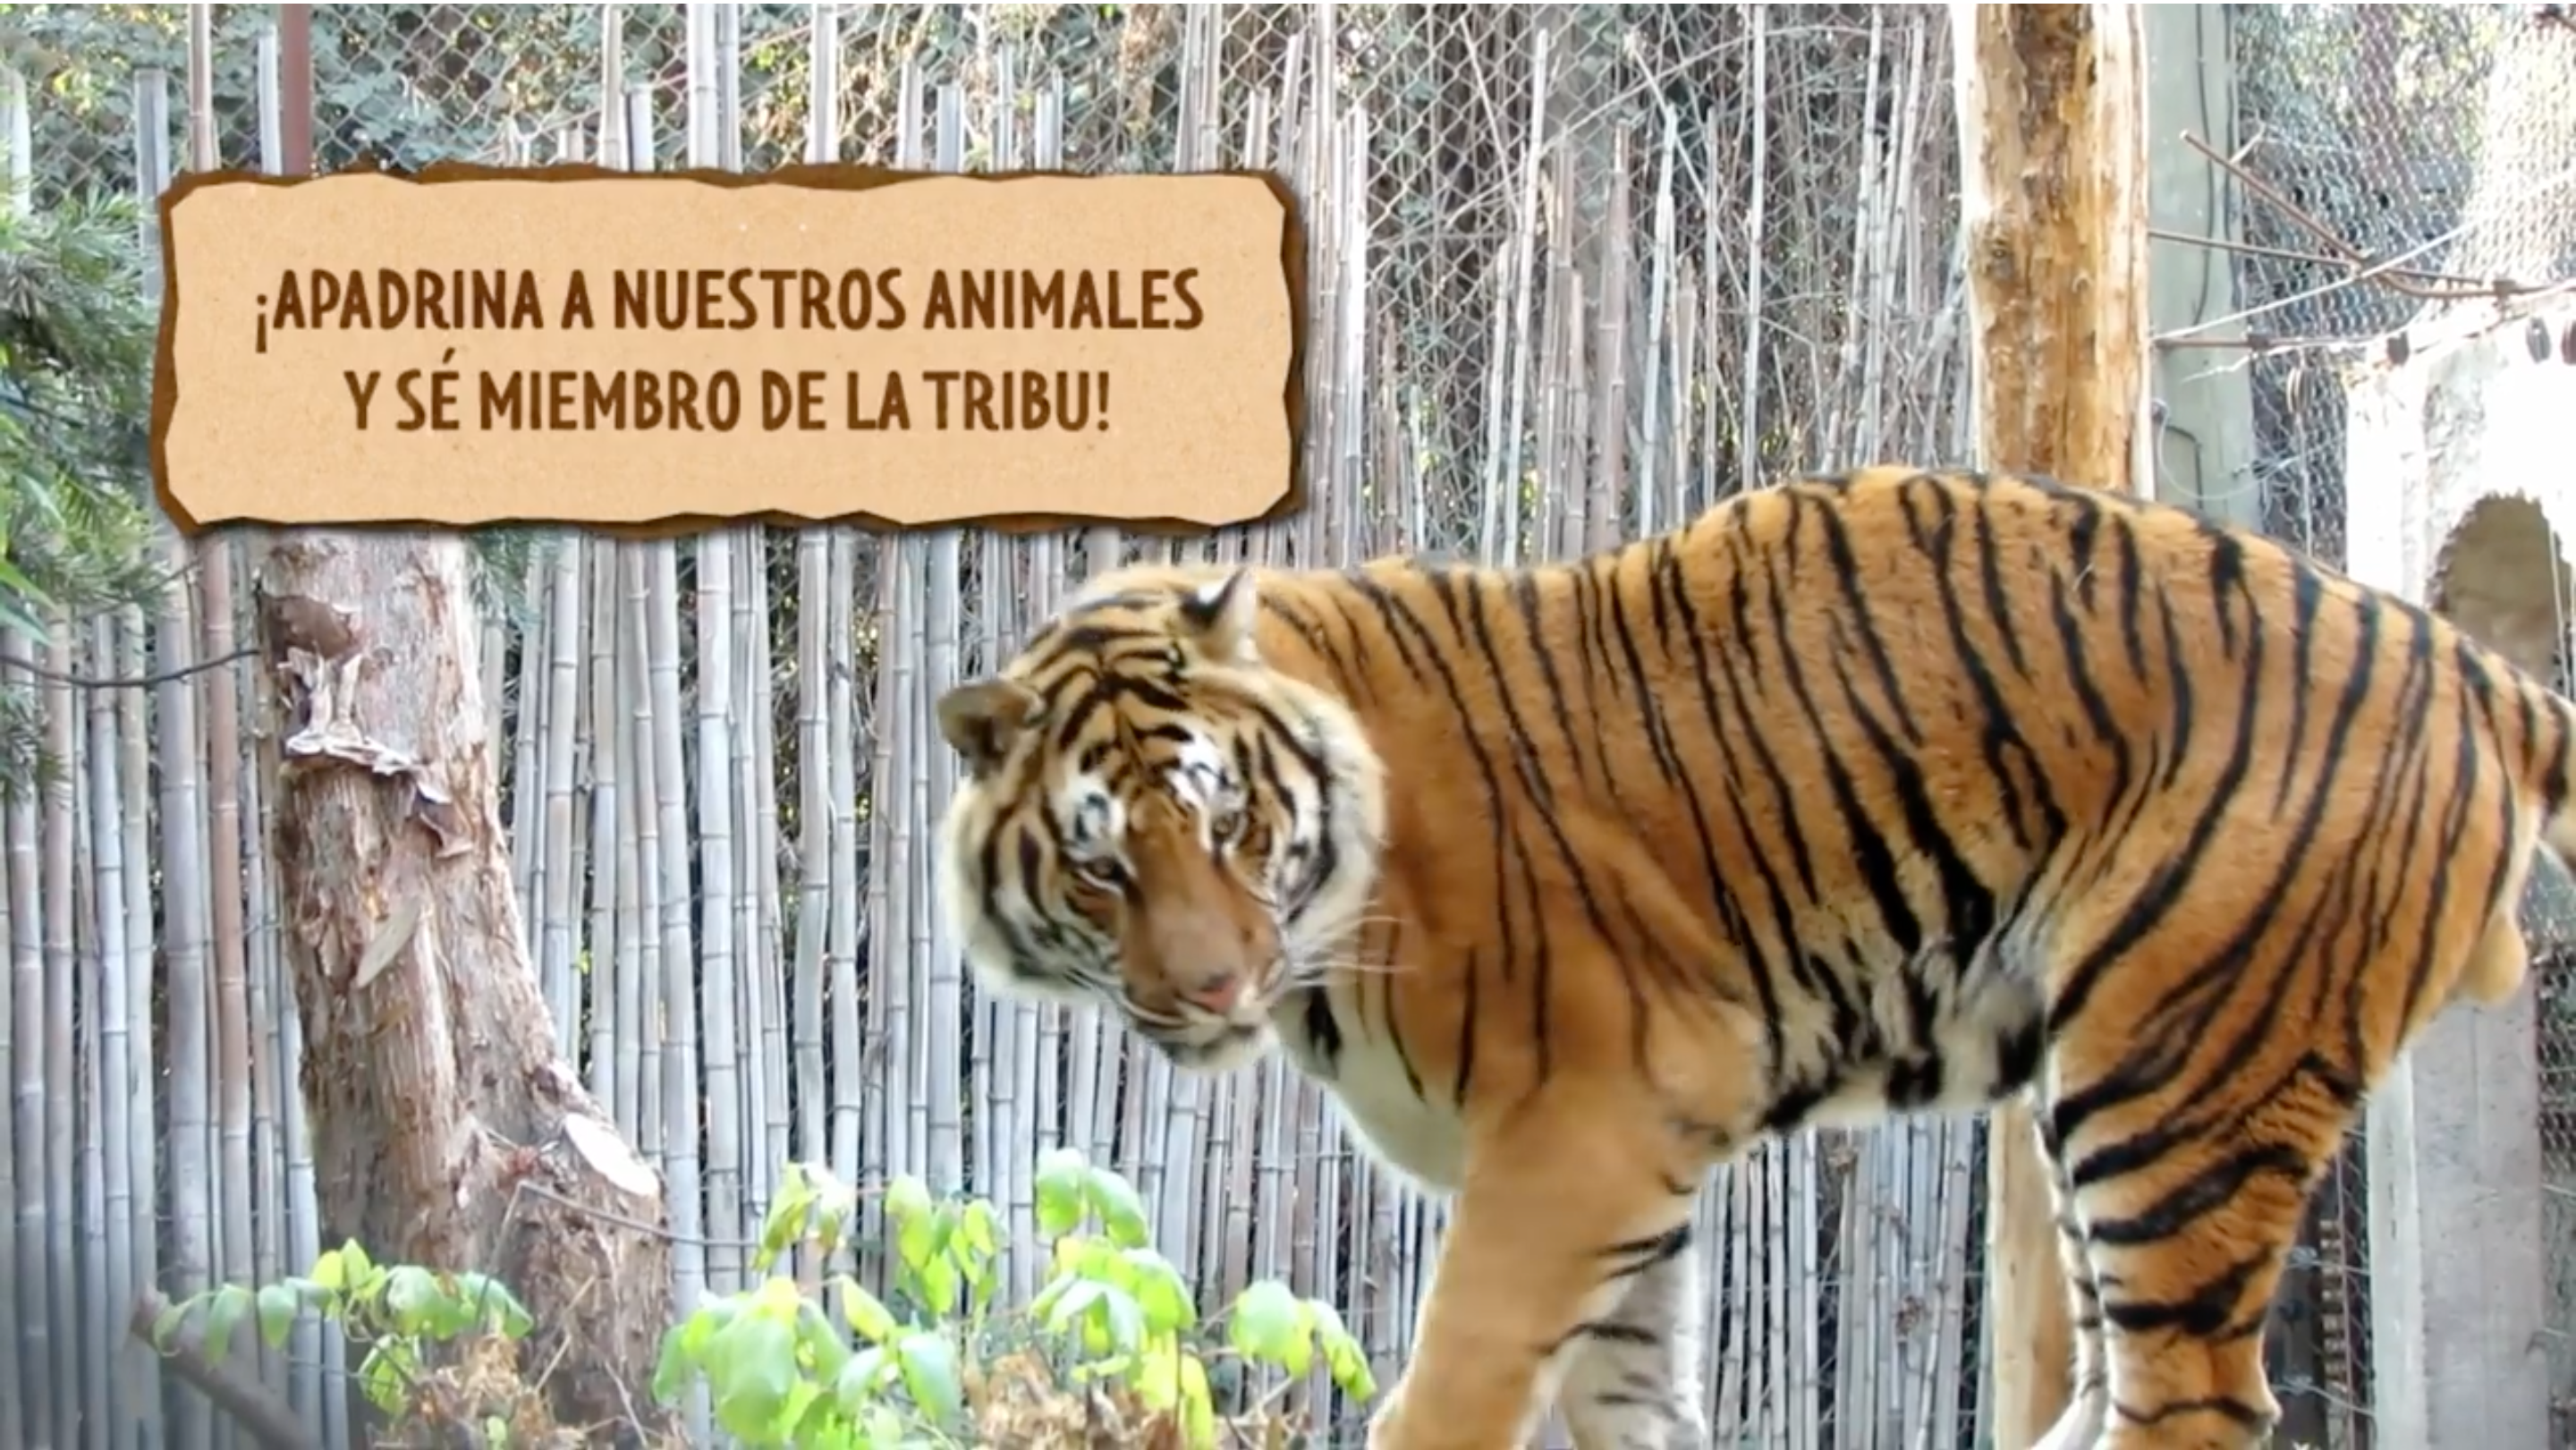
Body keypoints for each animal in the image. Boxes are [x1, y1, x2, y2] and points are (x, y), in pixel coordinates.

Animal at [931, 464, 2576, 1450]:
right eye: (1102, 863)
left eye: (1225, 816)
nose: (1213, 988)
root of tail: (2470, 663)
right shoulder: (1628, 1169)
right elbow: (1632, 1402)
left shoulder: (1582, 1133)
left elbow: (1454, 1388)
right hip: (2102, 1089)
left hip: (2183, 1084)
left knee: (2195, 1403)